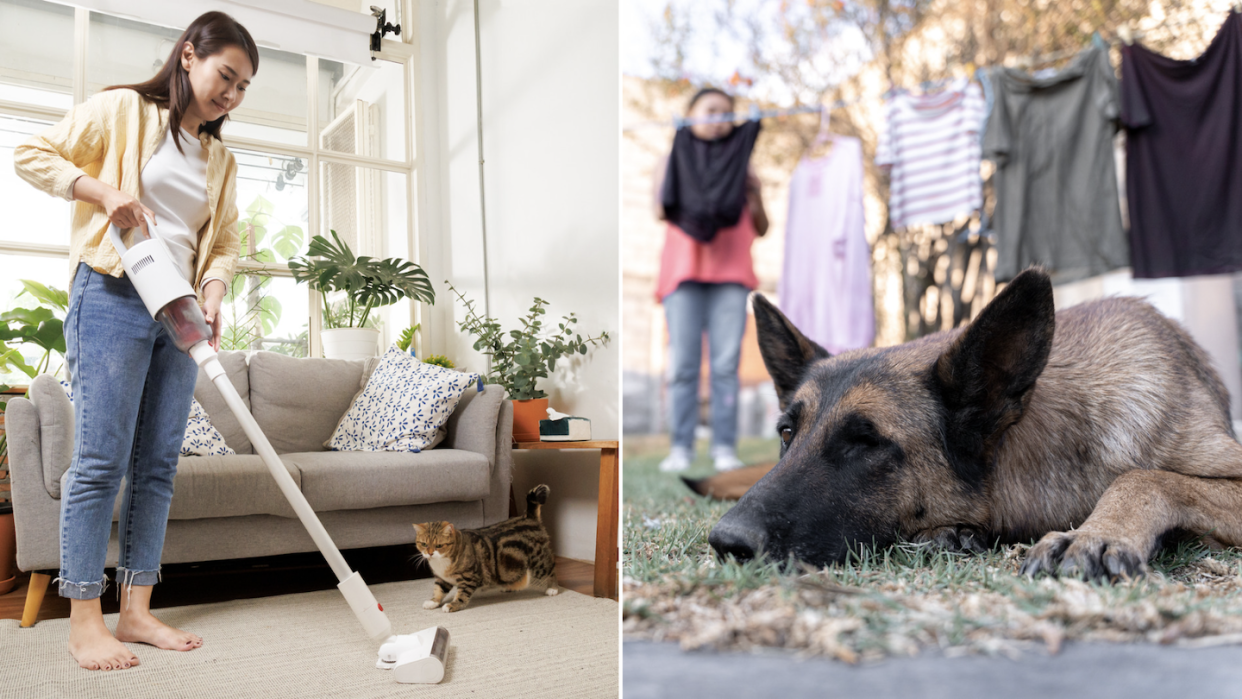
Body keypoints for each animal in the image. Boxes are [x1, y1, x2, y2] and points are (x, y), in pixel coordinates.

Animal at [412, 486, 558, 613]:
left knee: (551, 570)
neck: (441, 563)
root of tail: (529, 518)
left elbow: (462, 594)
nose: (430, 553)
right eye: (424, 544)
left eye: (439, 546)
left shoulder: (469, 576)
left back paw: (552, 588)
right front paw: (433, 601)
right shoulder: (442, 578)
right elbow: (439, 589)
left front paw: (453, 605)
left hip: (539, 561)